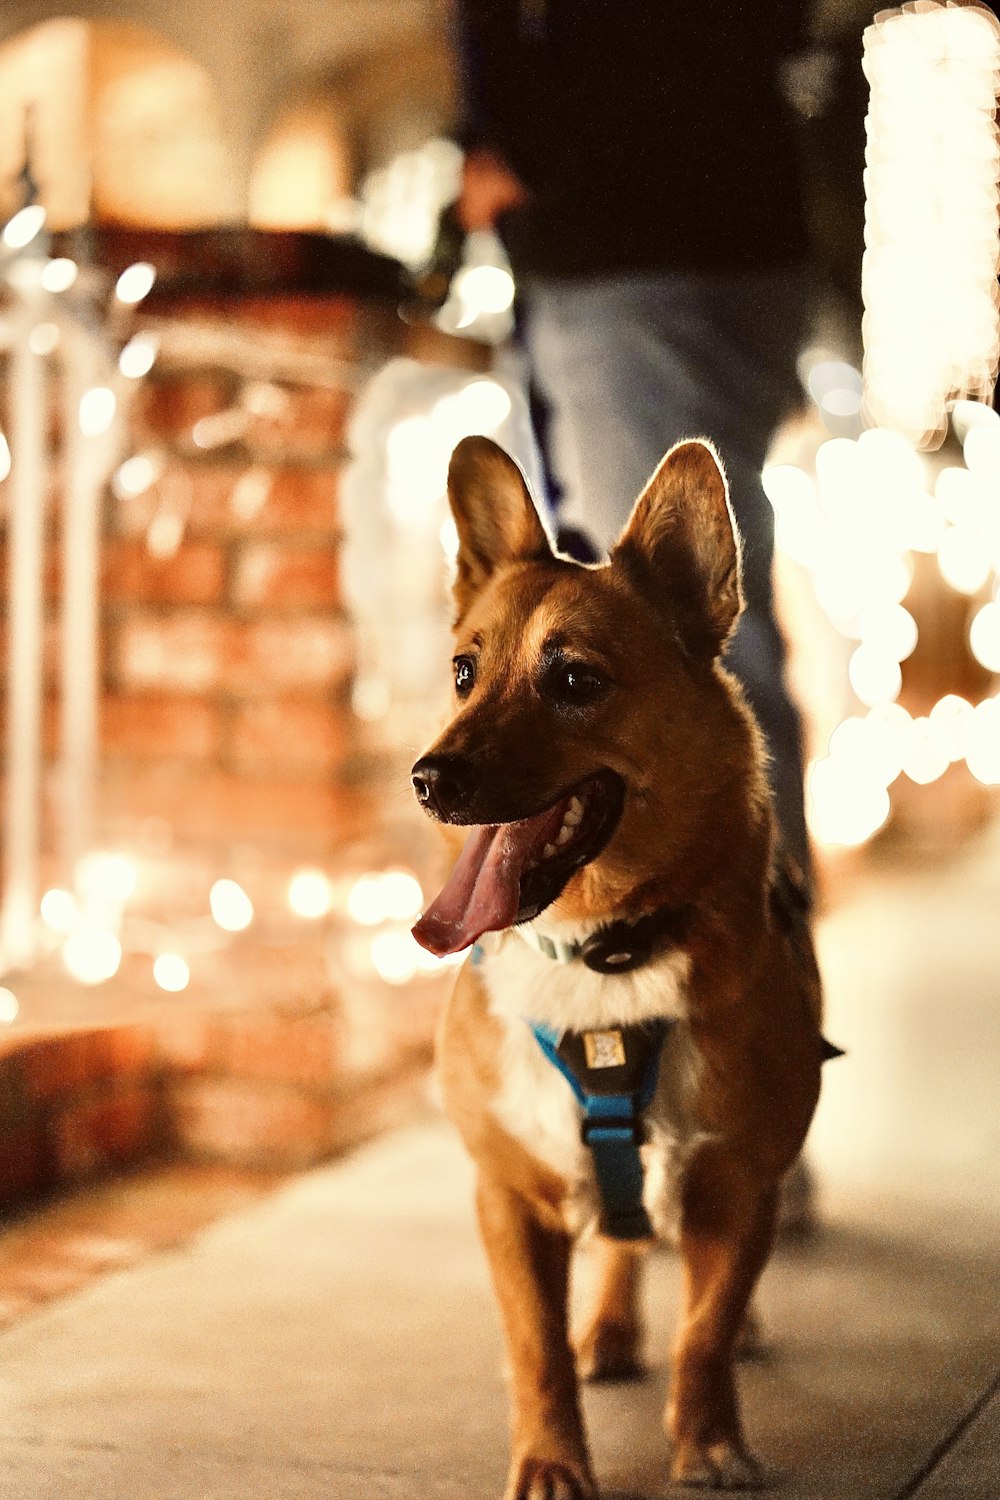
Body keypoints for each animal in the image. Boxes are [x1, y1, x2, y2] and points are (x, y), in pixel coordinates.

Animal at [410, 438, 827, 1500]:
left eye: (574, 680)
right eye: (465, 670)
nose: (429, 780)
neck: (604, 949)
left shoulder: (739, 1187)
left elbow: (705, 1332)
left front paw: (708, 1443)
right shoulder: (508, 1199)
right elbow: (536, 1349)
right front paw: (552, 1461)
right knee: (619, 1247)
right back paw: (605, 1328)